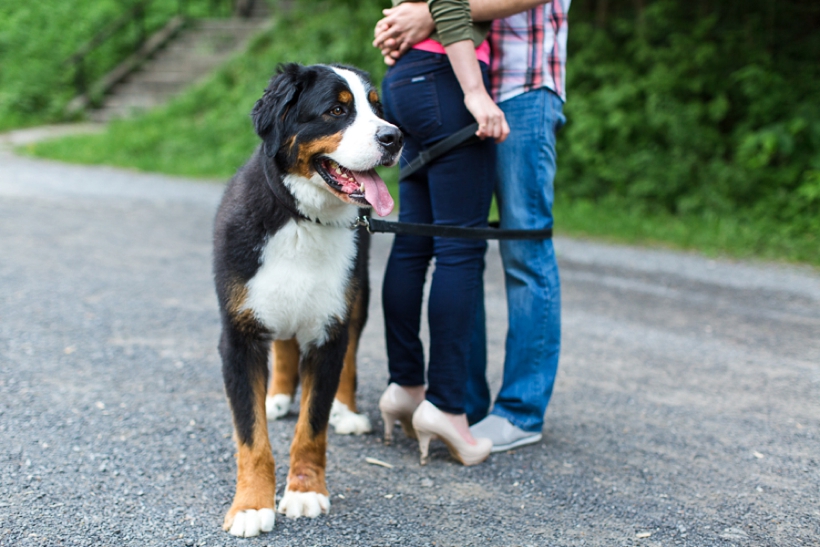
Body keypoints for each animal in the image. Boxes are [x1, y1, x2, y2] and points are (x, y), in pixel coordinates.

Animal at [213, 64, 402, 540]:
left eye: (378, 108)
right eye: (337, 110)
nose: (394, 137)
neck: (303, 220)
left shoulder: (328, 332)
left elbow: (312, 428)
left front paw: (305, 491)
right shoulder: (238, 336)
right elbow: (251, 437)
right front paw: (251, 505)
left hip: (358, 297)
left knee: (349, 358)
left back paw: (346, 411)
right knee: (282, 345)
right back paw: (277, 396)